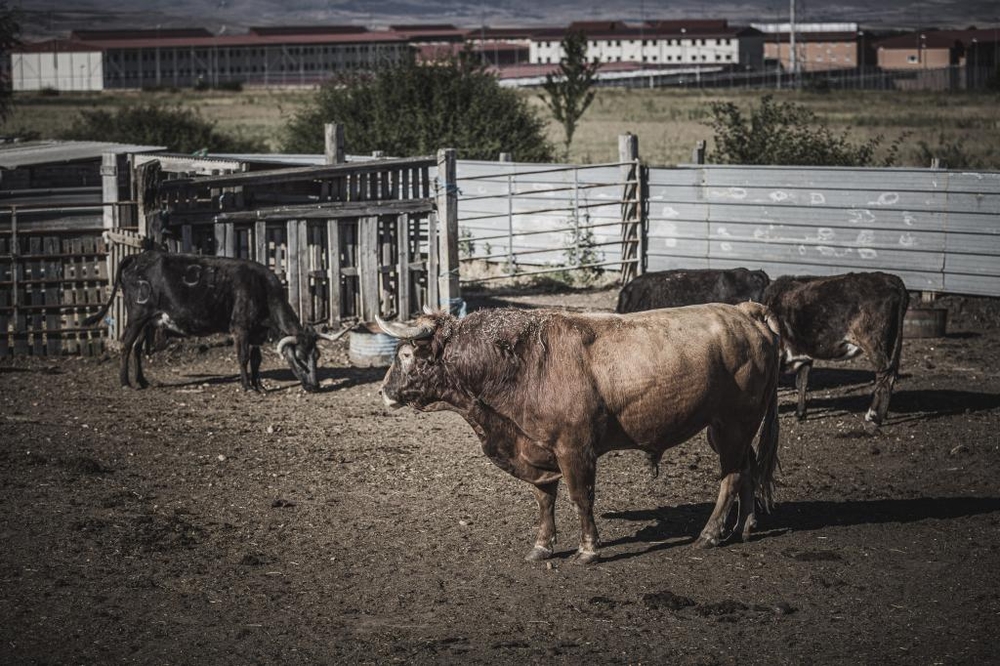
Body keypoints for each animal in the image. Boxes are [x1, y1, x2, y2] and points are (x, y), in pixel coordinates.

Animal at [84, 252, 348, 392]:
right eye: (300, 358)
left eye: (317, 356)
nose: (316, 386)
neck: (261, 289)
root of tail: (137, 256)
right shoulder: (240, 328)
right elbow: (243, 358)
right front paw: (248, 387)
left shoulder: (256, 333)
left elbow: (256, 360)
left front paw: (259, 385)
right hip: (137, 315)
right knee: (126, 345)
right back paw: (125, 382)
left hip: (150, 321)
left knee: (138, 348)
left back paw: (142, 381)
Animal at [378, 304, 784, 564]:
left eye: (406, 356)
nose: (383, 390)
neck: (522, 365)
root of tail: (746, 311)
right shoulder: (536, 449)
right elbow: (544, 499)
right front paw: (542, 546)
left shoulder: (575, 449)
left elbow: (580, 498)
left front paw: (588, 549)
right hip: (727, 427)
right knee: (747, 467)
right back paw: (745, 526)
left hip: (734, 423)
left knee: (732, 475)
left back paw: (710, 534)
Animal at [760, 270, 912, 426]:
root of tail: (891, 278)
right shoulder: (804, 354)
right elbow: (801, 383)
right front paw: (800, 414)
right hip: (891, 342)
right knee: (888, 376)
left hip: (874, 342)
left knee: (885, 377)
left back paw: (875, 417)